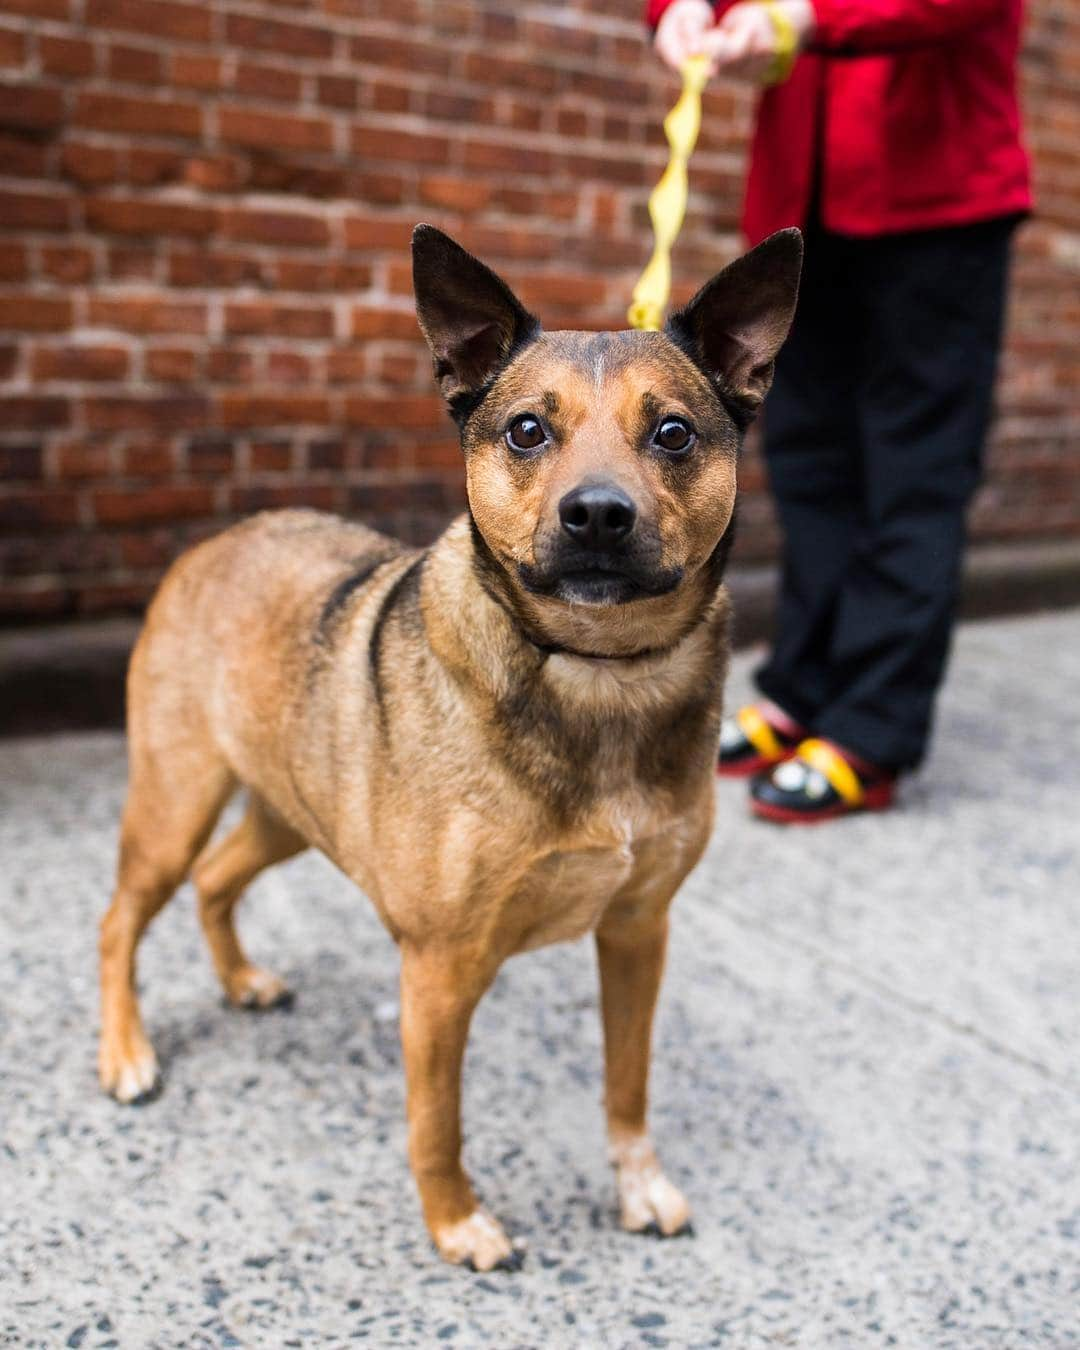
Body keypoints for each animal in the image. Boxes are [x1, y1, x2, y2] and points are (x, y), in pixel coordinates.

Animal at [99, 221, 799, 1263]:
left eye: (674, 432)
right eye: (527, 430)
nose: (598, 514)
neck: (596, 674)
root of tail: (221, 539)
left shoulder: (639, 930)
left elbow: (627, 1083)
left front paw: (638, 1186)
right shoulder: (440, 968)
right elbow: (439, 1121)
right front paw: (456, 1222)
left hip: (289, 809)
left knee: (217, 879)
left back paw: (242, 981)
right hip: (174, 802)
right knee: (122, 919)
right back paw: (125, 1053)